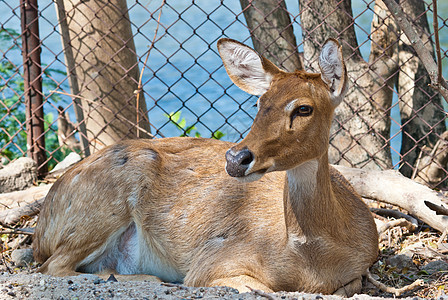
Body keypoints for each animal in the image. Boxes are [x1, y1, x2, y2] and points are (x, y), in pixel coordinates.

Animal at [33, 37, 380, 296]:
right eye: (259, 102)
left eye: (304, 108)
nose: (236, 158)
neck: (313, 260)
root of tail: (40, 229)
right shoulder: (214, 259)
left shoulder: (360, 268)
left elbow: (350, 285)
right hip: (103, 203)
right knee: (53, 267)